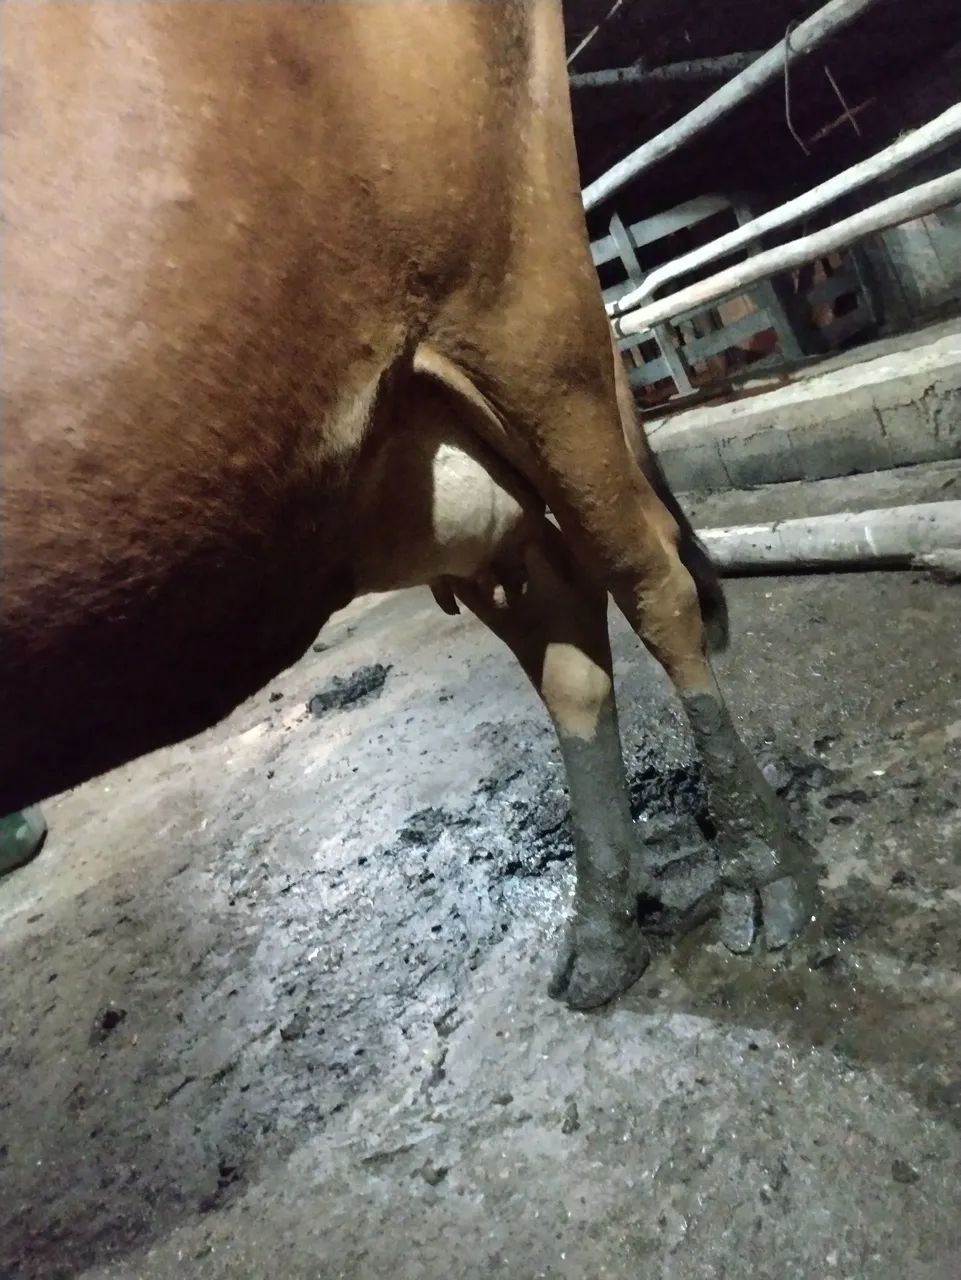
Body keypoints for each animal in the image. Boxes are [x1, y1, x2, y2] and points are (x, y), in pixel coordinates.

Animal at [1, 0, 814, 1009]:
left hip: (528, 316)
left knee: (653, 586)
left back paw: (763, 877)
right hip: (424, 457)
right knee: (566, 639)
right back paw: (602, 932)